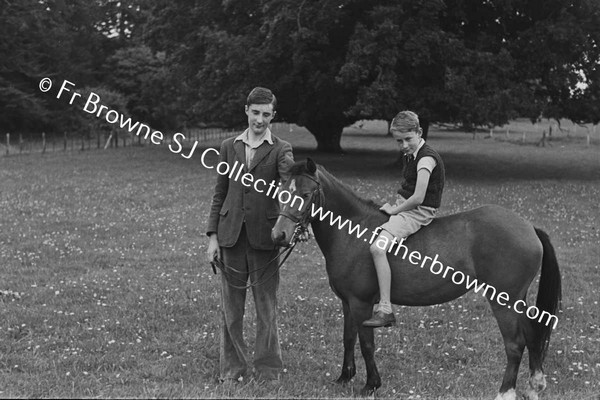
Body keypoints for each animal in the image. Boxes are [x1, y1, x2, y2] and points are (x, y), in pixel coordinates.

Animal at [272, 159, 564, 400]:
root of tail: (528, 227)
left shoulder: (361, 304)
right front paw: (344, 377)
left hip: (503, 301)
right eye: (281, 191)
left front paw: (371, 385)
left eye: (305, 194)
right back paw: (534, 386)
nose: (279, 235)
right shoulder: (348, 303)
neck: (354, 229)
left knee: (515, 344)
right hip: (518, 300)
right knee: (532, 335)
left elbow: (366, 343)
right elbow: (348, 339)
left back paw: (505, 392)